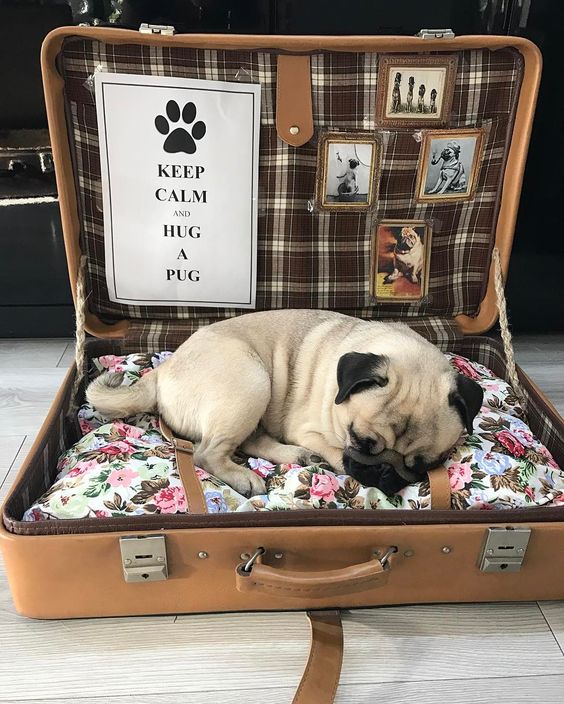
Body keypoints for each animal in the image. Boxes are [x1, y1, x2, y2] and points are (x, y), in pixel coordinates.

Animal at [87, 310, 480, 498]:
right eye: (359, 440)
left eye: (424, 466)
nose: (386, 473)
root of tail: (161, 371)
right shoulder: (310, 429)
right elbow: (338, 454)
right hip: (252, 381)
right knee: (207, 453)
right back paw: (247, 477)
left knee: (246, 441)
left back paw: (296, 456)